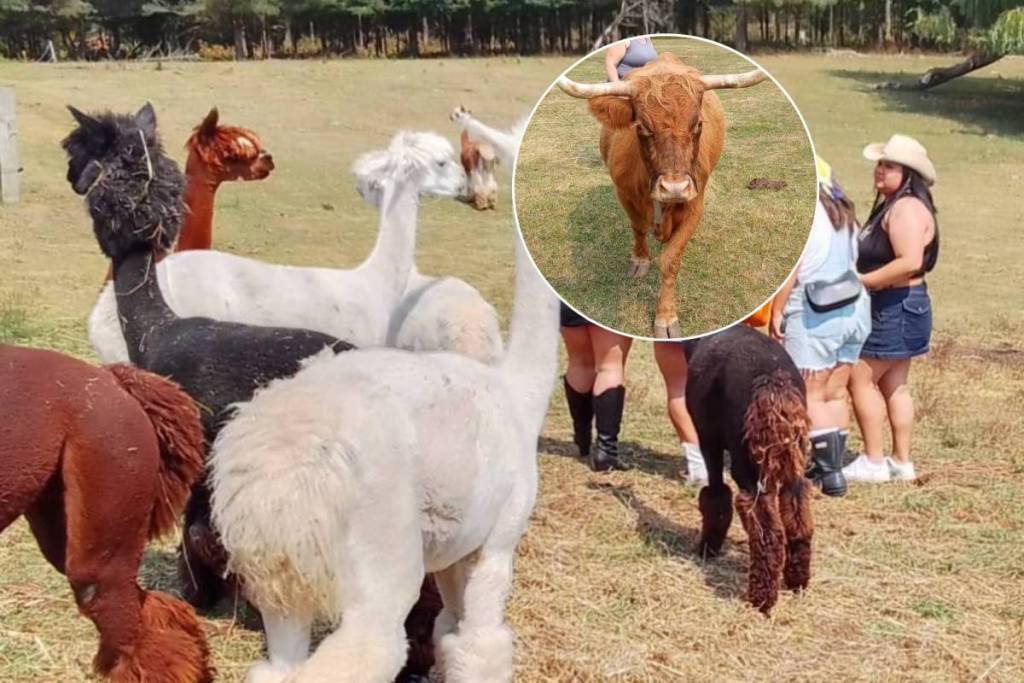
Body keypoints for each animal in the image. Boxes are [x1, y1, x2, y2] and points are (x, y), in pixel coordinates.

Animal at [557, 52, 767, 338]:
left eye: (698, 124)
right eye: (643, 127)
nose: (675, 188)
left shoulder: (695, 205)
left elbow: (670, 260)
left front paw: (666, 318)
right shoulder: (624, 194)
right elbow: (637, 228)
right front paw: (639, 260)